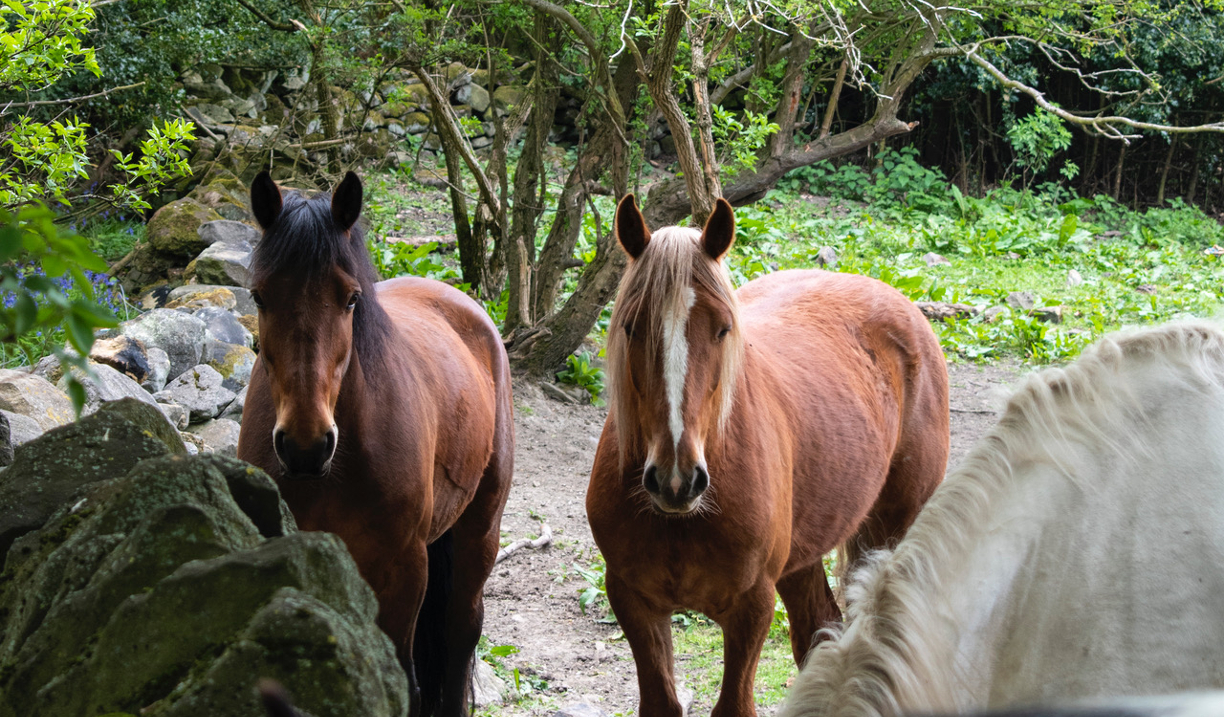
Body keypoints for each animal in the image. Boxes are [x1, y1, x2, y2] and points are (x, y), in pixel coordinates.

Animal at [236, 171, 514, 717]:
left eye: (350, 299)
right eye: (259, 297)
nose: (305, 445)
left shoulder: (404, 568)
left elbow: (405, 682)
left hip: (479, 531)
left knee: (459, 636)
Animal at [586, 195, 951, 717]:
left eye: (722, 329)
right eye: (632, 327)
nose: (677, 480)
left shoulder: (751, 607)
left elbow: (734, 705)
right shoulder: (633, 600)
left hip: (895, 526)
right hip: (805, 554)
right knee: (819, 634)